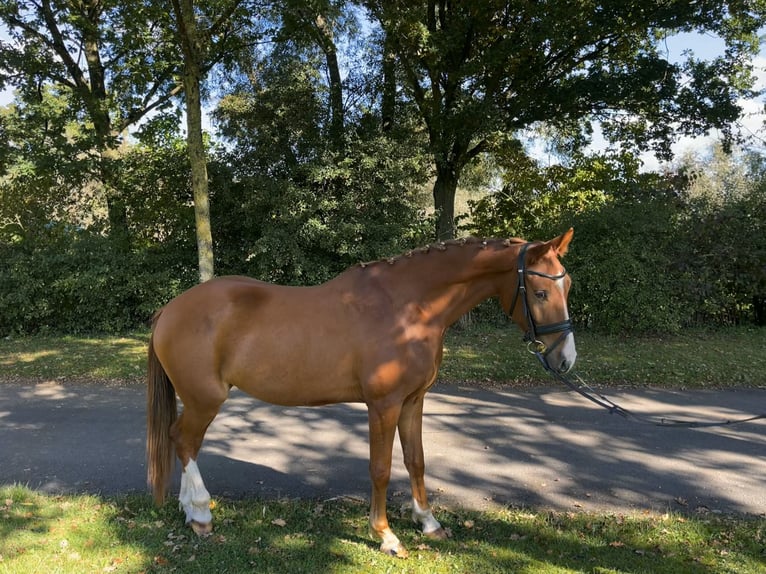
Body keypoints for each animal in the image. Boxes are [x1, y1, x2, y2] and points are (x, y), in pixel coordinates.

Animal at [146, 228, 576, 560]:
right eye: (540, 292)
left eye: (566, 285)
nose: (566, 359)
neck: (407, 308)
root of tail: (169, 309)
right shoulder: (383, 405)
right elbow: (381, 469)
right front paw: (387, 536)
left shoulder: (413, 401)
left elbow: (416, 461)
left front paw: (428, 522)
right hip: (205, 399)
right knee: (184, 440)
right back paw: (201, 515)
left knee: (182, 441)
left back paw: (190, 510)